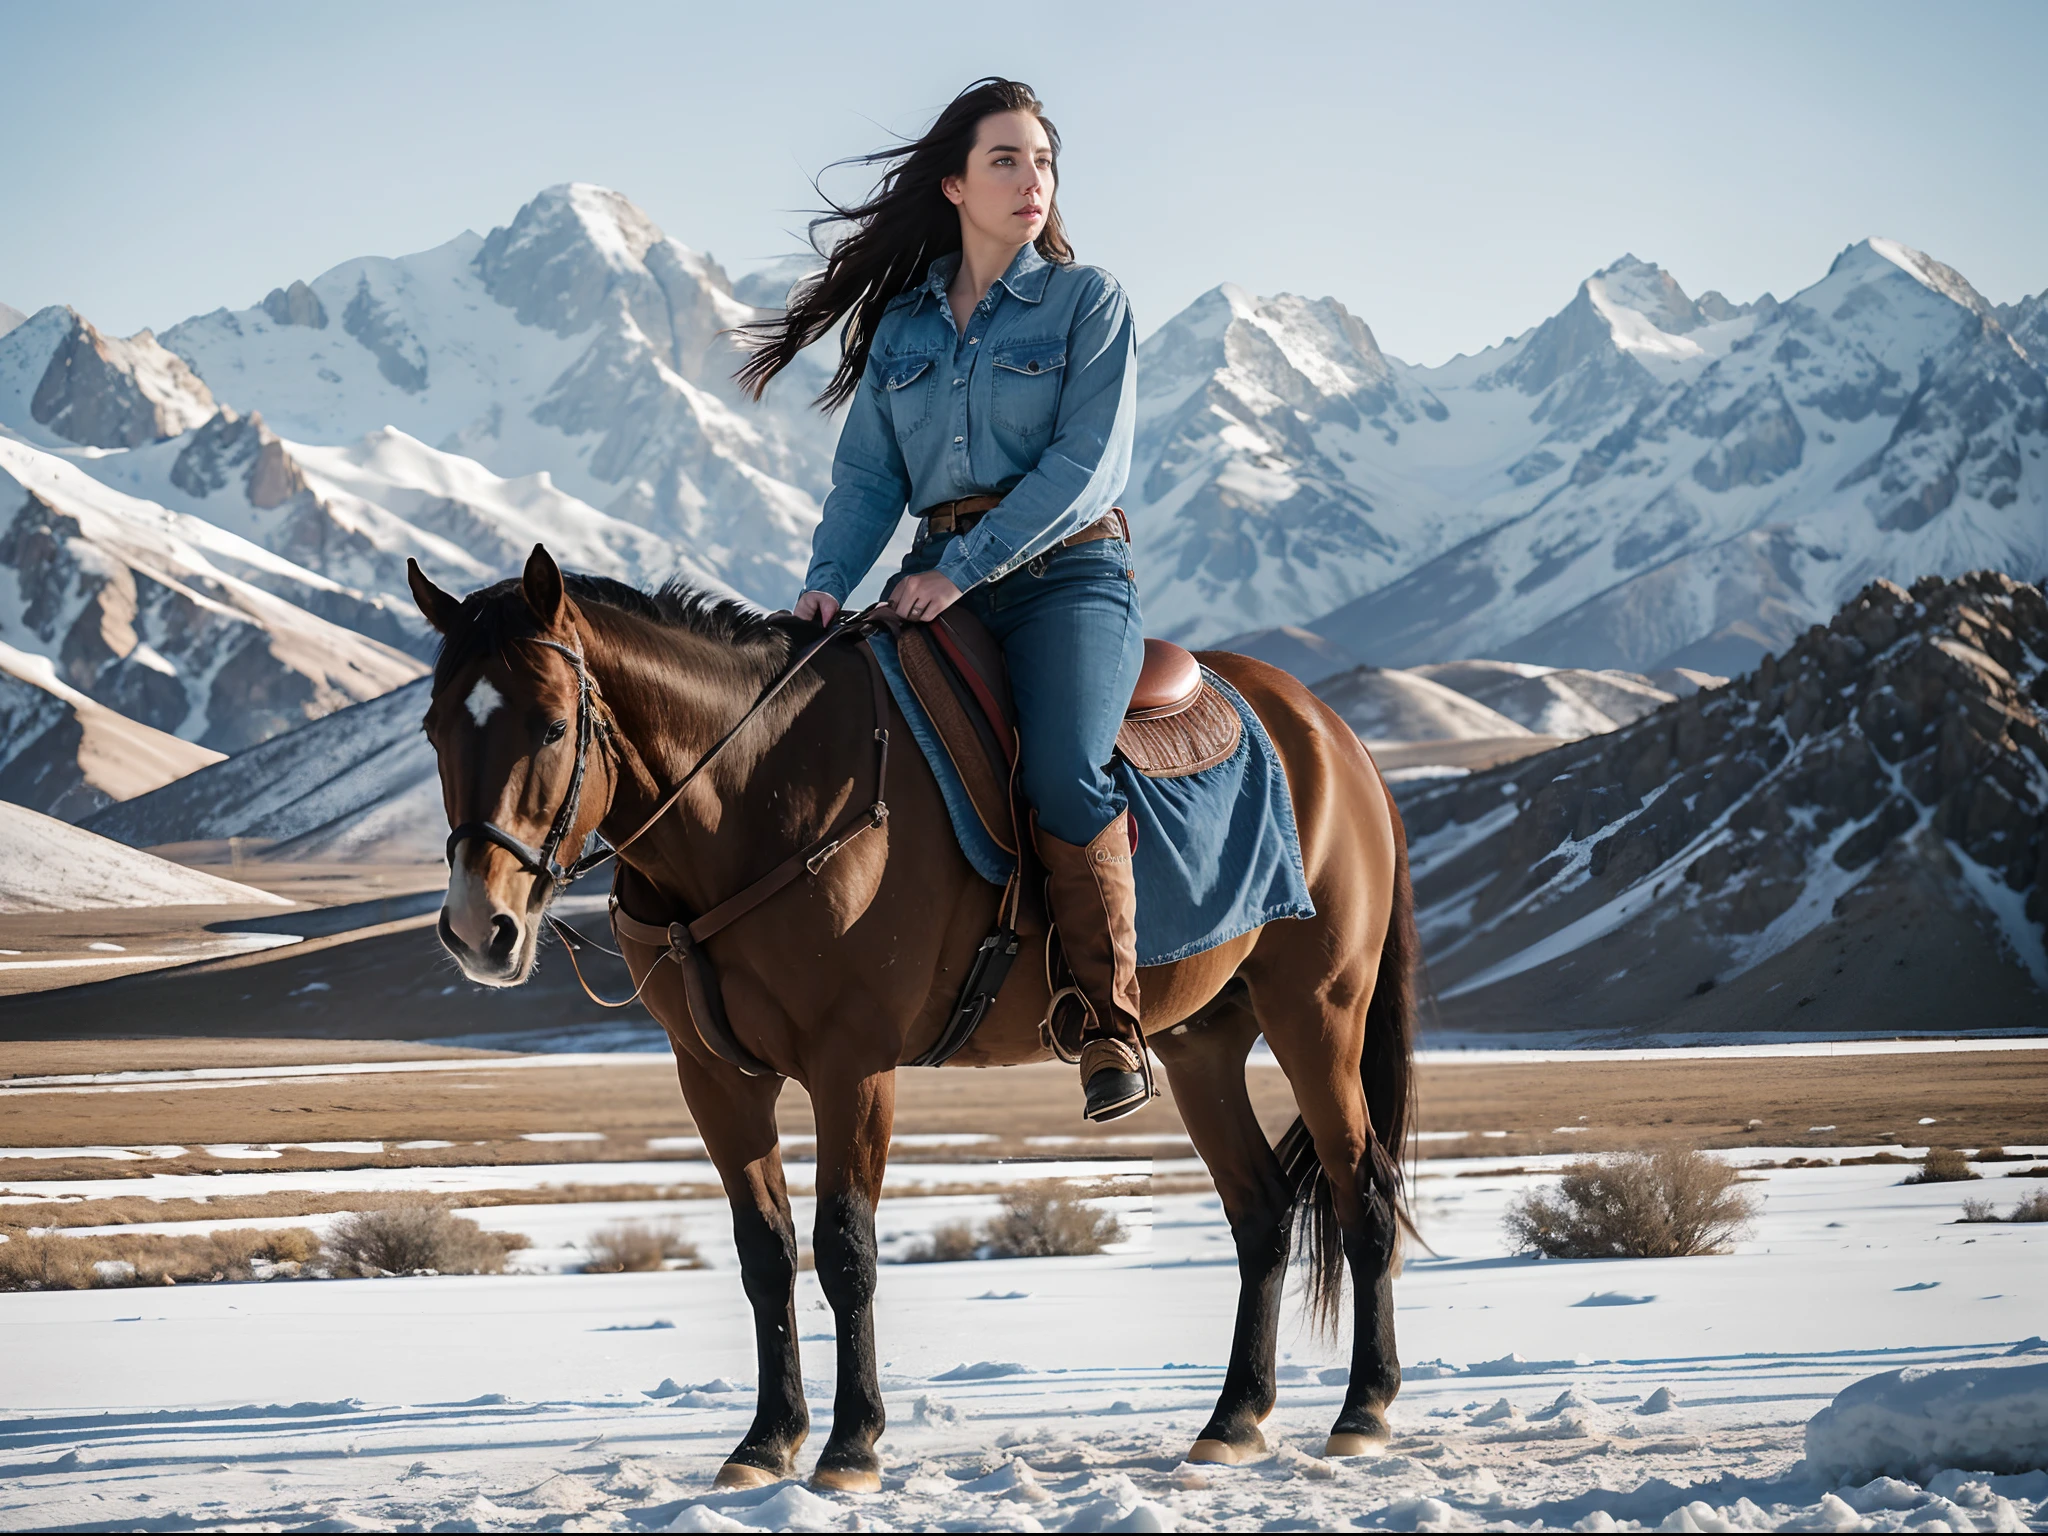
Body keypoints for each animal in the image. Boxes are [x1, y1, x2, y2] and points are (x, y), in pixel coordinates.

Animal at [407, 548, 1417, 1490]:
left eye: (551, 724)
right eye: (432, 729)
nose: (478, 929)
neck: (758, 798)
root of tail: (1330, 733)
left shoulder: (851, 1062)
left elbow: (845, 1248)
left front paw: (851, 1444)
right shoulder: (717, 1077)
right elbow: (764, 1251)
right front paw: (763, 1443)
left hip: (1316, 1011)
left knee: (1361, 1189)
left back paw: (1363, 1411)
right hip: (1199, 1039)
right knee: (1262, 1211)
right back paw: (1233, 1420)